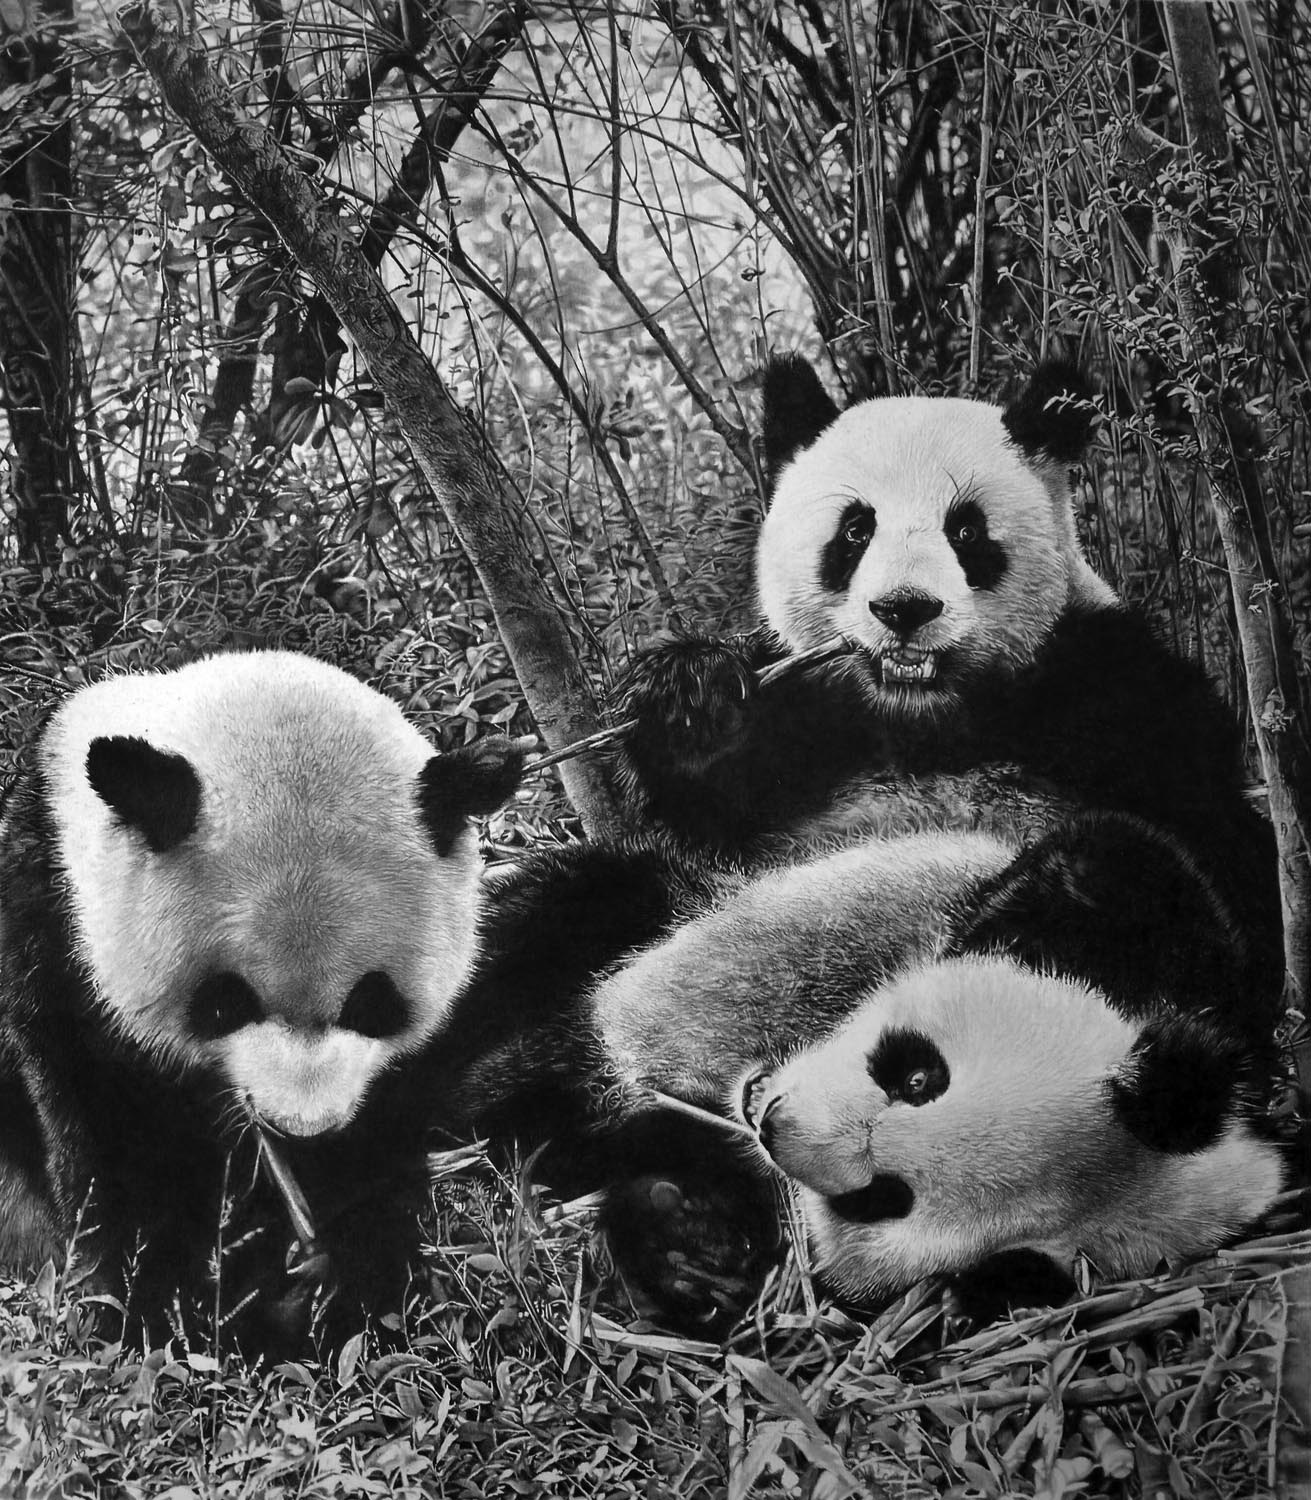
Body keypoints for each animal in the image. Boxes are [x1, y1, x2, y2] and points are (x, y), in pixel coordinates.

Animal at [0, 651, 525, 1350]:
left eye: (371, 1003)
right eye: (225, 1003)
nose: (298, 1127)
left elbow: (384, 1145)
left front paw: (330, 1286)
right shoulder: (54, 927)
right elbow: (107, 1140)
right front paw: (157, 1311)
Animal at [614, 354, 1282, 996]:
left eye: (966, 531)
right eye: (856, 530)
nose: (904, 607)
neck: (925, 718)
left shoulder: (1118, 690)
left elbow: (1229, 861)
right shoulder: (814, 722)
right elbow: (713, 809)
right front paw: (693, 697)